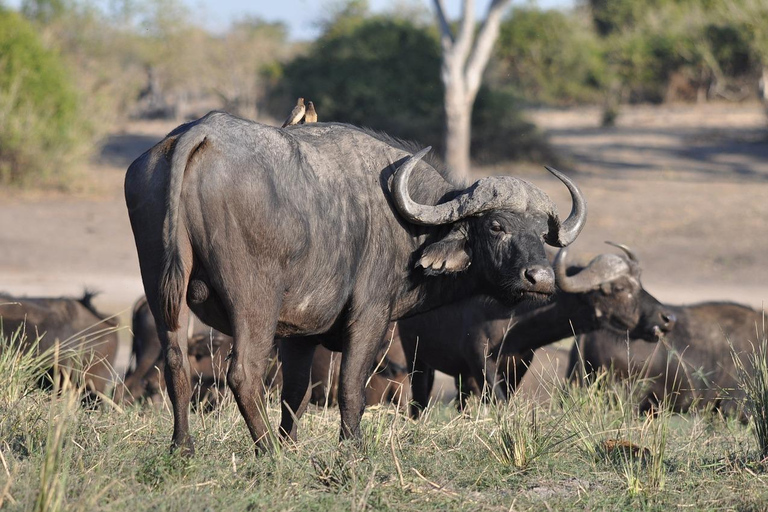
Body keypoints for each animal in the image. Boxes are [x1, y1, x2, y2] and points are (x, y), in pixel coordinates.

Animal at [124, 112, 588, 452]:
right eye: (496, 226)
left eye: (540, 232)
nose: (540, 278)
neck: (411, 226)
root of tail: (201, 133)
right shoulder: (371, 318)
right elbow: (351, 388)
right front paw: (352, 448)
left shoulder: (299, 334)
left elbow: (296, 394)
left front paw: (292, 445)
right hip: (254, 301)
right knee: (243, 373)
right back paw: (266, 452)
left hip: (162, 292)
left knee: (176, 366)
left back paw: (184, 448)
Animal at [400, 242, 676, 418]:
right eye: (619, 288)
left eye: (639, 282)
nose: (667, 318)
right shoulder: (479, 359)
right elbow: (499, 401)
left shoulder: (518, 363)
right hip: (415, 356)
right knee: (419, 400)